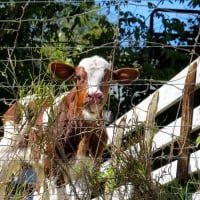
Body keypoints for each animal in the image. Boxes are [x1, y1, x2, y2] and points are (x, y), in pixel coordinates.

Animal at [1, 55, 139, 199]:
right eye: (78, 77)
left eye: (109, 79)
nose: (94, 96)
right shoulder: (53, 165)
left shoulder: (89, 168)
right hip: (7, 152)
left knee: (39, 189)